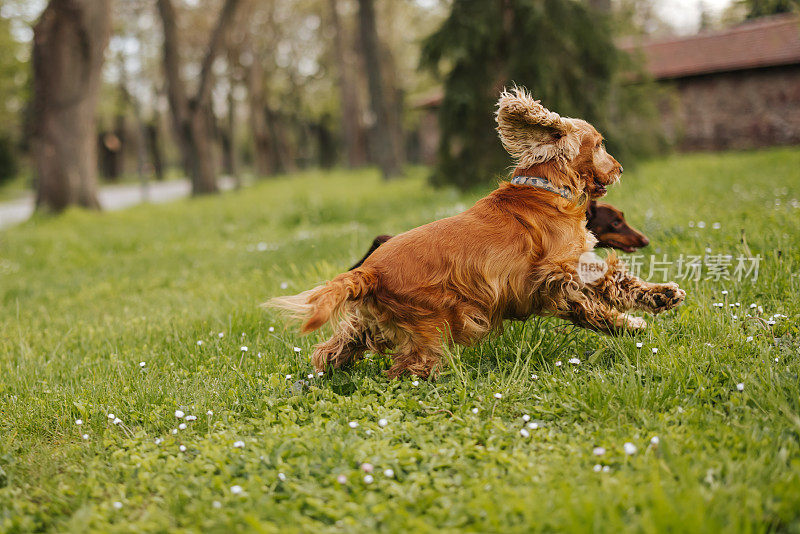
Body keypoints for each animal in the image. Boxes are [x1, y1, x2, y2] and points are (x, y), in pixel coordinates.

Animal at [270, 88, 688, 378]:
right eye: (599, 144)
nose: (619, 168)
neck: (544, 188)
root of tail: (369, 271)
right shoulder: (559, 272)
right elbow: (604, 293)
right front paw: (644, 310)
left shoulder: (565, 278)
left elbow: (606, 297)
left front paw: (645, 310)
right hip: (429, 329)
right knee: (406, 370)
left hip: (368, 324)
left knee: (331, 349)